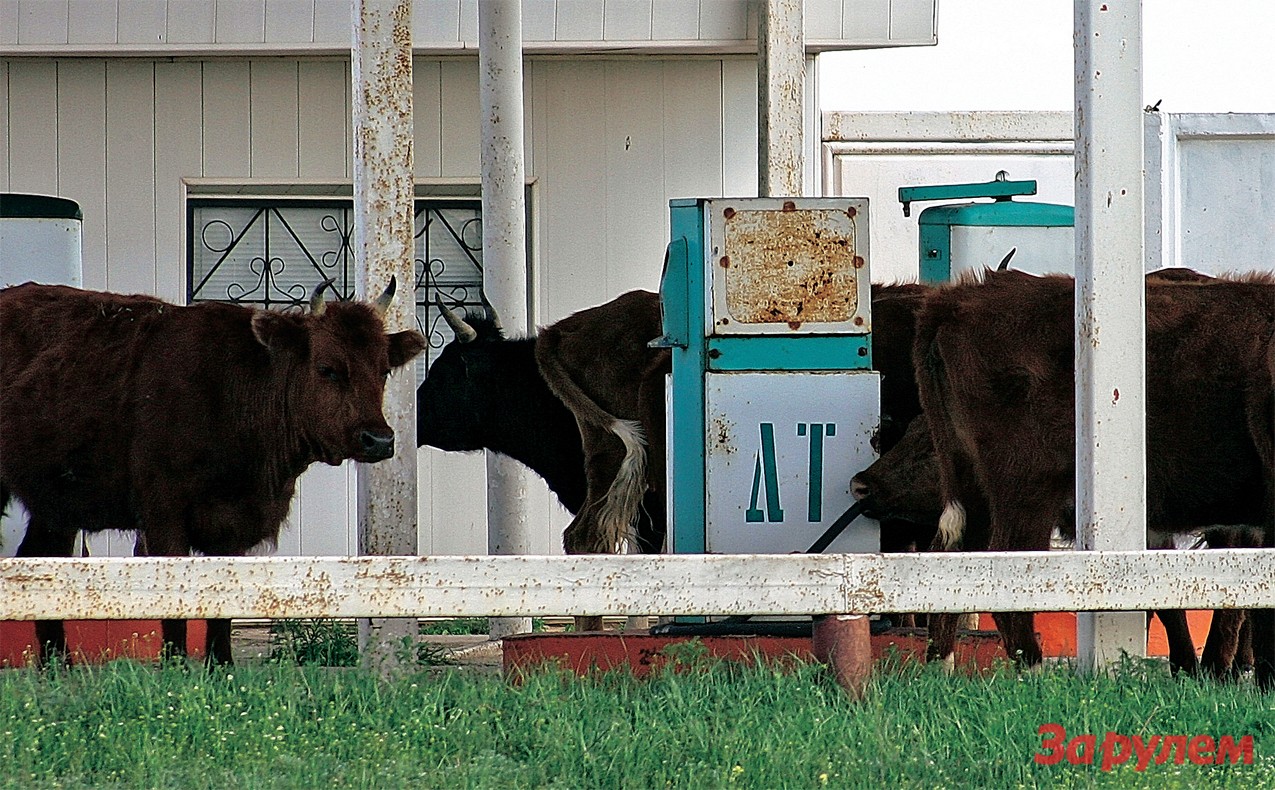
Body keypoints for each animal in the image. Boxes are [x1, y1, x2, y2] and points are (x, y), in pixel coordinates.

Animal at [0, 279, 427, 664]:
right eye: (328, 368)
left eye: (384, 370)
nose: (378, 439)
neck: (233, 391)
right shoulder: (164, 518)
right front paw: (175, 665)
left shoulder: (233, 526)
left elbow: (221, 604)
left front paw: (220, 663)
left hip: (56, 507)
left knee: (41, 561)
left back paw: (58, 664)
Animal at [907, 268, 1275, 678]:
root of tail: (957, 300)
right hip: (1028, 485)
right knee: (1007, 571)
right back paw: (1034, 671)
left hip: (972, 484)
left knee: (950, 560)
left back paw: (940, 669)